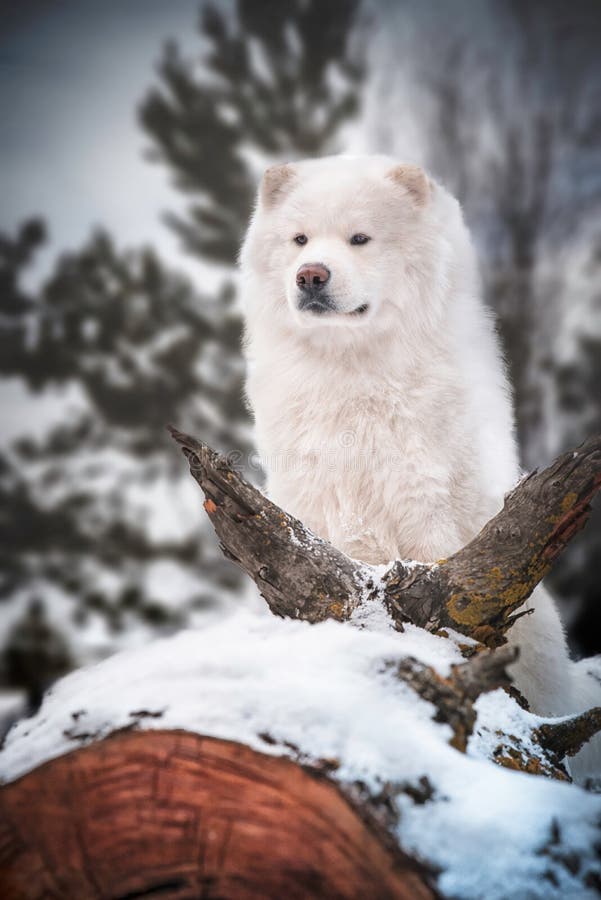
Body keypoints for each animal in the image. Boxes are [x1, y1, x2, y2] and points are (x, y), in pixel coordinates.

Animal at [240, 156, 600, 780]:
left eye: (360, 239)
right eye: (300, 240)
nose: (311, 275)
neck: (352, 375)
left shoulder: (425, 505)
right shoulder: (316, 510)